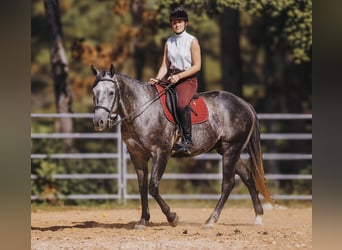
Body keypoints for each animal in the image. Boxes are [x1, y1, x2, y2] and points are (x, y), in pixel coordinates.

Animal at [91, 64, 276, 229]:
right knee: (247, 176)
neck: (141, 111)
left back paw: (211, 220)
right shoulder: (137, 156)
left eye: (111, 92)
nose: (98, 121)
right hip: (227, 150)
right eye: (94, 92)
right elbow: (142, 188)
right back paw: (258, 217)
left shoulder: (161, 153)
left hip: (232, 149)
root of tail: (245, 104)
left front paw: (172, 217)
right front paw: (143, 220)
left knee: (228, 183)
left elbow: (153, 187)